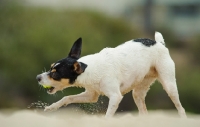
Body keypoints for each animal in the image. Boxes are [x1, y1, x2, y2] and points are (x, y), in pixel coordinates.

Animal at [35, 31, 186, 117]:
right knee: (144, 112)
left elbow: (107, 116)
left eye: (55, 74)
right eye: (50, 68)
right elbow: (67, 98)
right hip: (138, 93)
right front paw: (51, 107)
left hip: (169, 86)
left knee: (181, 108)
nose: (37, 78)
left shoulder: (115, 97)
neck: (90, 69)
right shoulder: (91, 95)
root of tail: (160, 44)